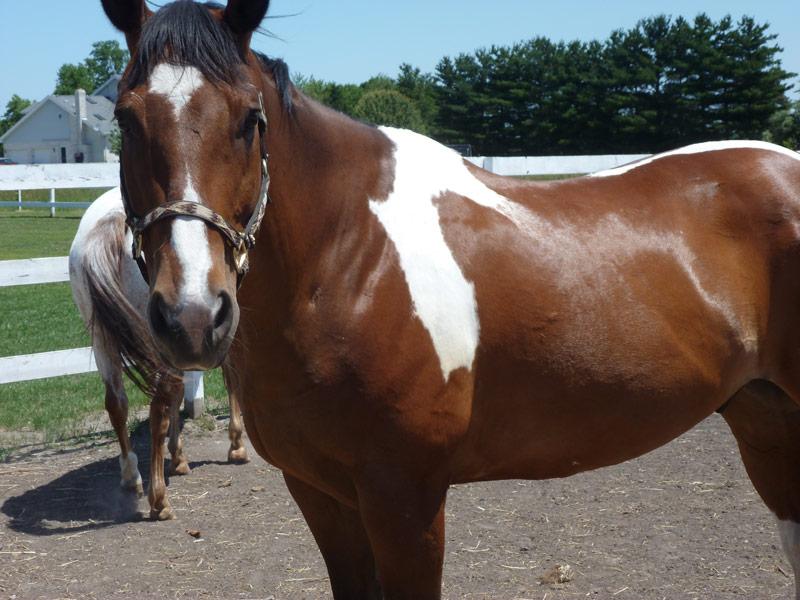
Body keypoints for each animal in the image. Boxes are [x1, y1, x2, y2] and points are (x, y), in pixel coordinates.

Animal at [69, 187, 249, 519]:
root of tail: (110, 221)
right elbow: (231, 379)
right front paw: (236, 444)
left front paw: (178, 457)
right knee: (157, 408)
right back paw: (159, 499)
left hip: (102, 341)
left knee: (117, 403)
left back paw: (132, 477)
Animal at [97, 0, 800, 597]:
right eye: (126, 120)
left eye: (250, 119)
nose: (192, 316)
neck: (349, 257)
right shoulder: (321, 494)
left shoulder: (405, 498)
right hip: (766, 422)